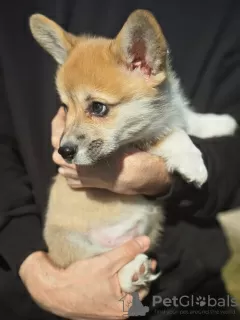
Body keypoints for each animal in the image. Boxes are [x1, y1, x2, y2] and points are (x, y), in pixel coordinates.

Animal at [29, 8, 237, 294]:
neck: (160, 113)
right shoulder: (131, 142)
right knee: (97, 261)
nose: (64, 151)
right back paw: (132, 271)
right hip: (70, 244)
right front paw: (192, 163)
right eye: (66, 108)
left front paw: (223, 123)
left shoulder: (175, 114)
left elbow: (190, 119)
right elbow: (175, 135)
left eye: (97, 107)